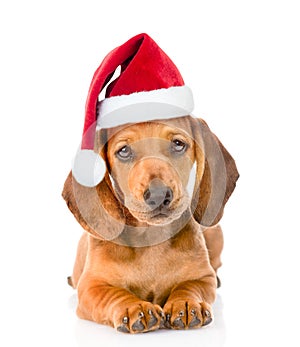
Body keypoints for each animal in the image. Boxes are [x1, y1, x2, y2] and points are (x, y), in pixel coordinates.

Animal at [62, 115, 239, 334]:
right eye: (124, 151)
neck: (151, 237)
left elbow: (190, 286)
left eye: (178, 144)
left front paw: (186, 303)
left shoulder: (203, 278)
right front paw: (134, 307)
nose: (158, 195)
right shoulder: (91, 286)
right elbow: (113, 294)